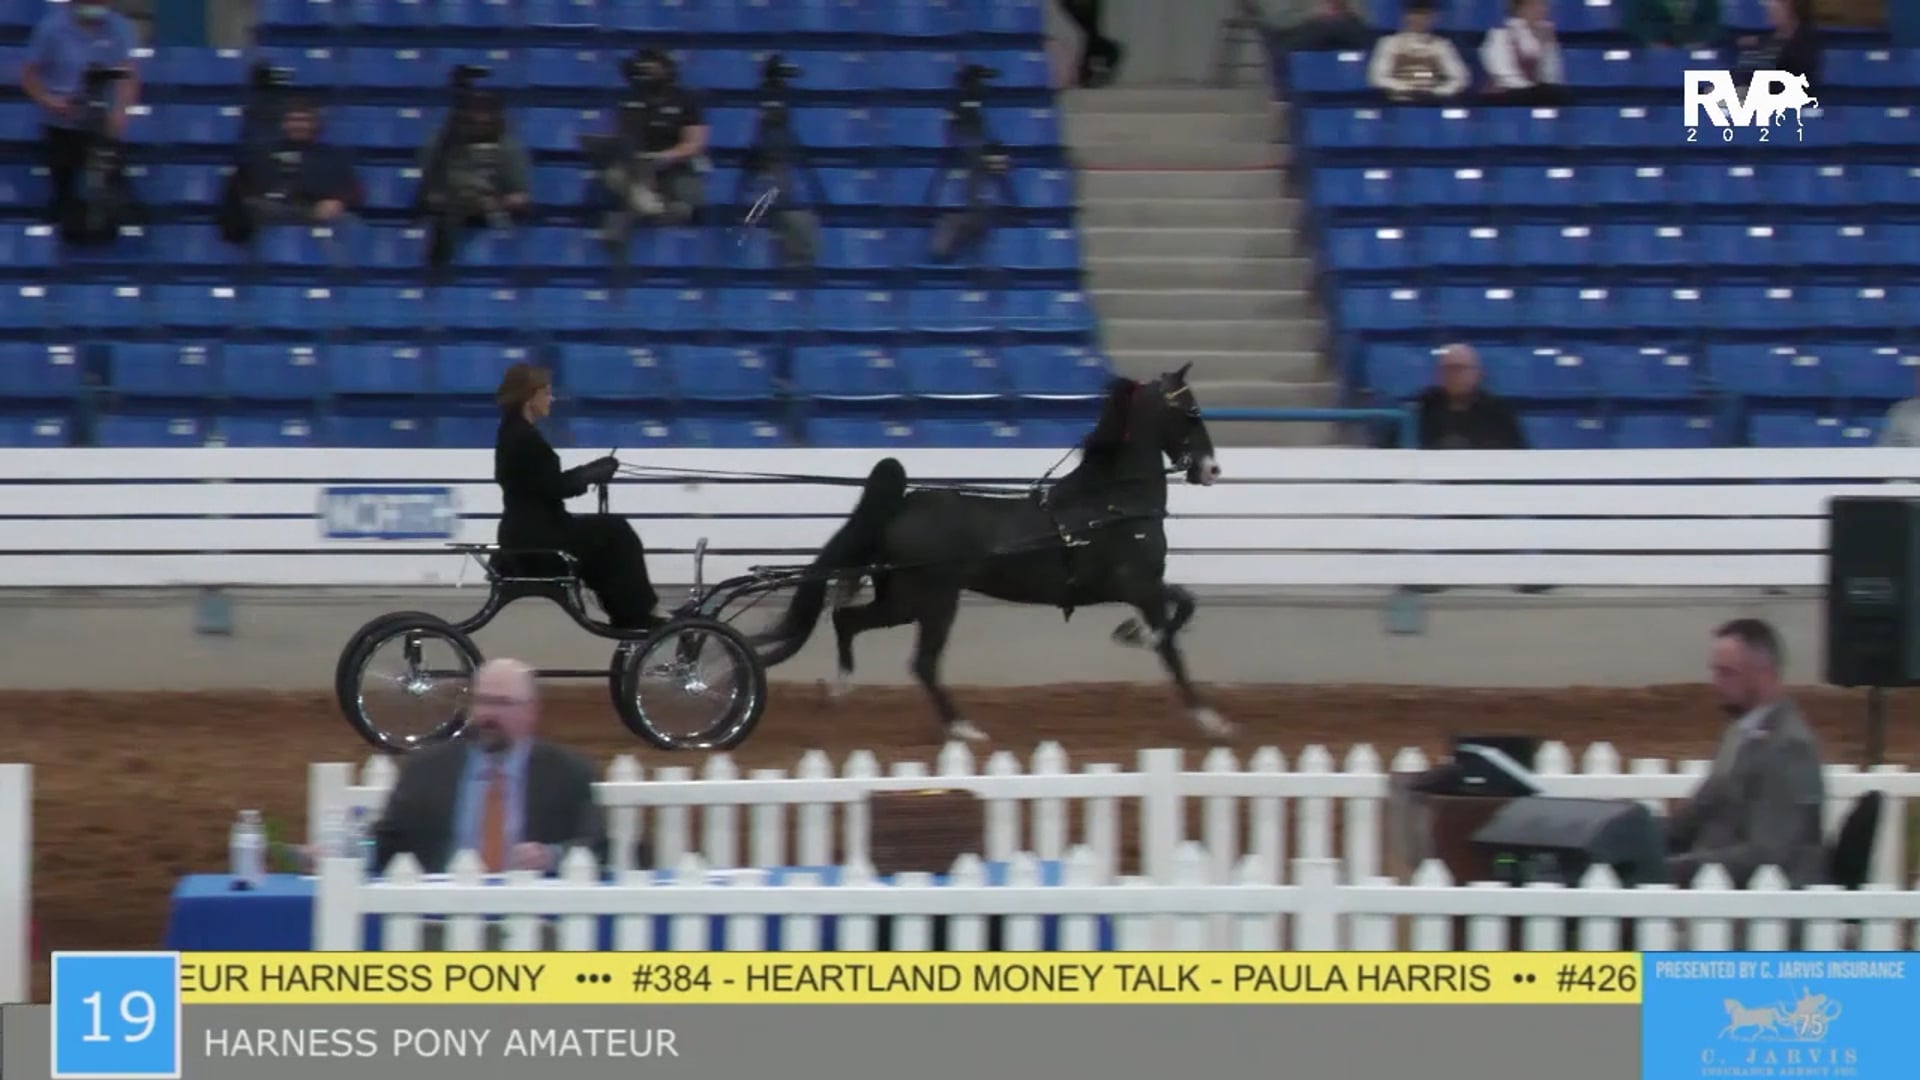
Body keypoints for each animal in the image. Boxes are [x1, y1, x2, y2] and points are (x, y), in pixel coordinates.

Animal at [750, 364, 1230, 743]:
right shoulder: (1137, 585)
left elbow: (1185, 602)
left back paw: (841, 689)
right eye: (1191, 411)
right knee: (922, 663)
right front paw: (1211, 720)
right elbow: (1172, 643)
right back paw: (963, 728)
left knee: (846, 620)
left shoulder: (1142, 586)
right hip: (933, 601)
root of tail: (904, 504)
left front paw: (1132, 632)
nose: (1211, 469)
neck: (1111, 503)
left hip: (902, 600)